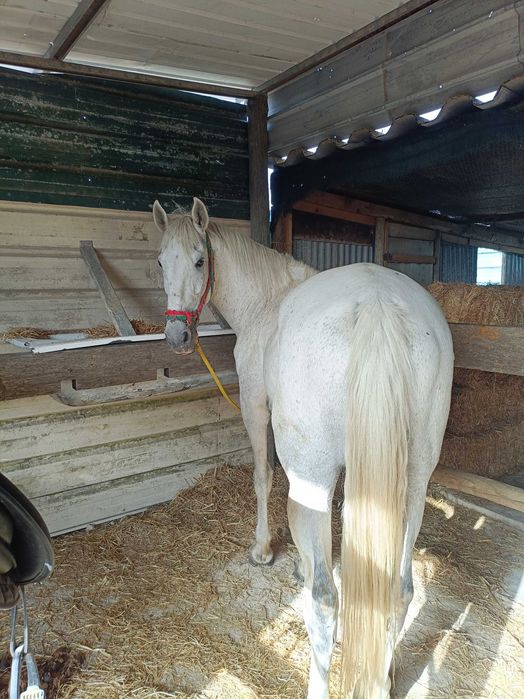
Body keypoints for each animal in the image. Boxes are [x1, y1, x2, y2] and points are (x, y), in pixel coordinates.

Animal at [153, 197, 454, 699]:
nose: (177, 339)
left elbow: (263, 477)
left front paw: (263, 550)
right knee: (400, 590)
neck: (266, 302)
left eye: (199, 261)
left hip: (315, 475)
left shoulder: (257, 407)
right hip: (411, 486)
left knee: (325, 601)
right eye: (160, 261)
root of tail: (378, 306)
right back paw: (384, 673)